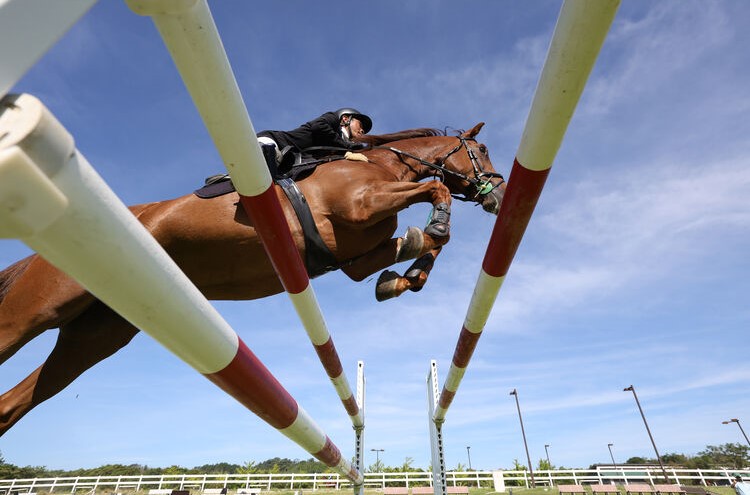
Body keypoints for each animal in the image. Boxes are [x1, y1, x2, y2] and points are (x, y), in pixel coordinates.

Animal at [0, 122, 505, 435]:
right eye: (480, 150)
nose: (498, 195)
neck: (378, 164)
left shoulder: (358, 256)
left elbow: (419, 247)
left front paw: (403, 278)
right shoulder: (360, 205)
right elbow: (436, 194)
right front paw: (434, 226)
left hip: (96, 336)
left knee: (14, 403)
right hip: (38, 309)